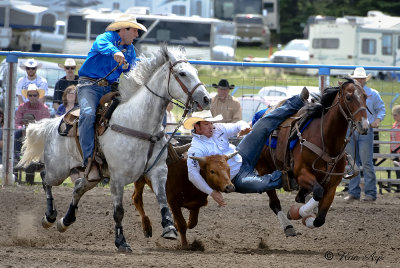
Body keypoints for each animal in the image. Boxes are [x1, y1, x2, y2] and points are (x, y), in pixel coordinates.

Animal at [256, 78, 368, 236]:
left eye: (365, 96)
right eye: (348, 97)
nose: (364, 125)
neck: (326, 141)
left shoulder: (332, 186)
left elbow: (319, 219)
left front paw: (303, 214)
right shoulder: (302, 174)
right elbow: (317, 193)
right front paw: (295, 213)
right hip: (264, 170)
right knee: (274, 203)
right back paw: (288, 226)